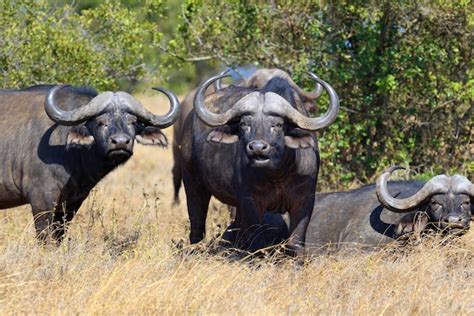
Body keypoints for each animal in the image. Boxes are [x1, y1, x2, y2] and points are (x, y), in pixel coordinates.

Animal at [0, 84, 180, 242]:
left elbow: (59, 236)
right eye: (100, 122)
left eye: (132, 122)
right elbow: (45, 237)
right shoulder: (41, 200)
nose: (120, 142)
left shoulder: (71, 204)